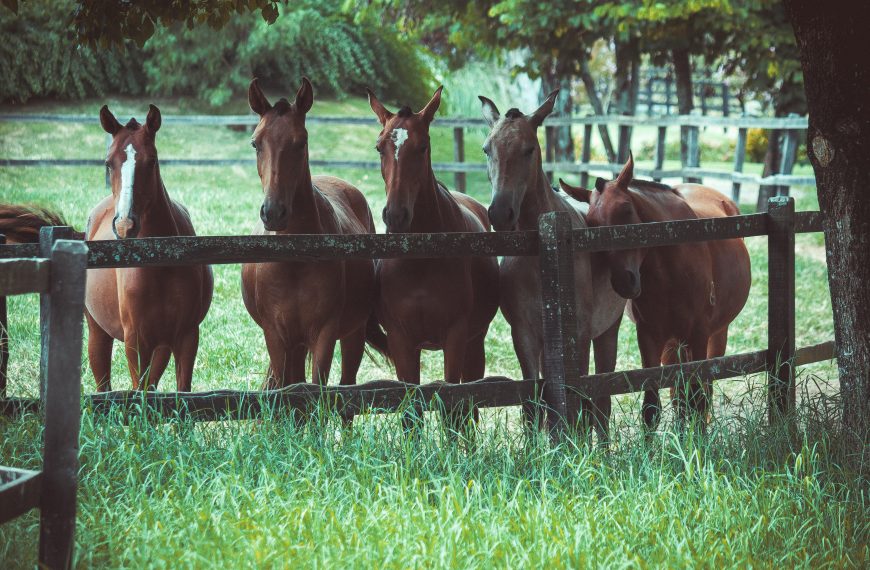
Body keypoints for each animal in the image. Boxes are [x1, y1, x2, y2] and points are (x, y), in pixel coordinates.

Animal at [241, 78, 385, 392]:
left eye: (301, 142)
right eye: (255, 143)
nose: (273, 212)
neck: (295, 259)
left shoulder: (324, 333)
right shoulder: (276, 336)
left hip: (353, 333)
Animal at [367, 86, 499, 428]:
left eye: (423, 146)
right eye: (379, 148)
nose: (396, 215)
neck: (421, 259)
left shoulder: (456, 336)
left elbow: (453, 408)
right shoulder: (401, 341)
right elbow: (410, 413)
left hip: (474, 343)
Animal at [479, 92, 625, 440]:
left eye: (529, 149)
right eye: (487, 149)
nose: (500, 213)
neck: (540, 256)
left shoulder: (579, 334)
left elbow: (580, 402)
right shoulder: (525, 334)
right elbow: (533, 403)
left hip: (607, 331)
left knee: (601, 400)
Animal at [559, 154, 751, 429]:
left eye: (626, 210)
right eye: (592, 225)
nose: (623, 282)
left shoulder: (699, 335)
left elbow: (697, 398)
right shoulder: (650, 337)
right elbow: (652, 407)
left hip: (715, 335)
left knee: (703, 391)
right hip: (673, 344)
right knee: (678, 394)